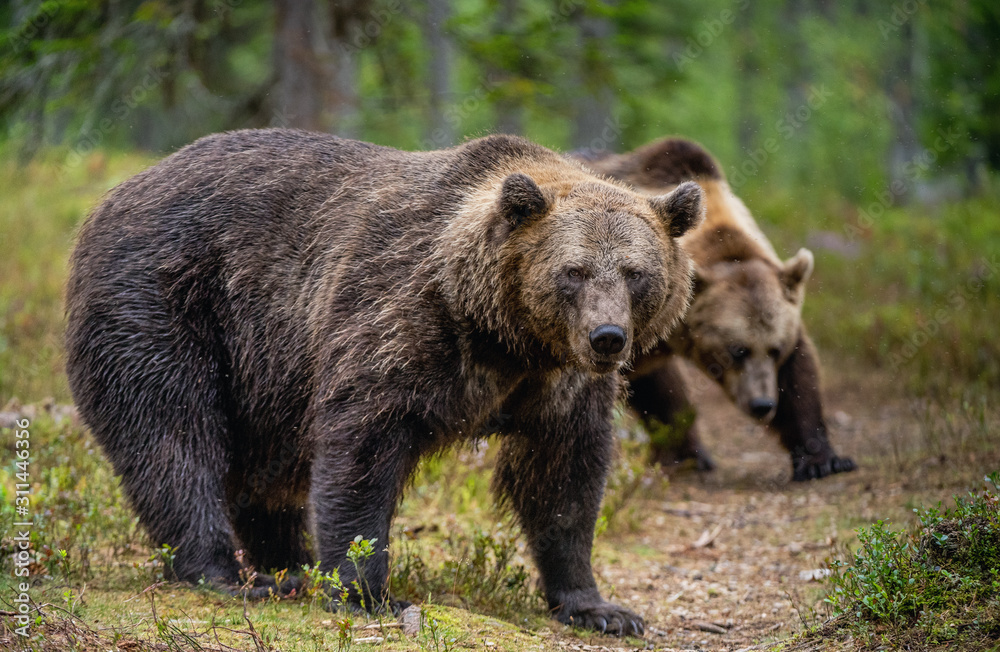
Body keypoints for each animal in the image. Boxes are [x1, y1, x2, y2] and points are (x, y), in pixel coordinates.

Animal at [66, 129, 704, 636]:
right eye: (573, 271)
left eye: (635, 273)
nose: (607, 336)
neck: (501, 334)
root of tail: (115, 194)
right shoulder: (396, 321)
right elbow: (362, 451)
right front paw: (367, 592)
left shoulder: (558, 384)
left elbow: (564, 479)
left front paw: (600, 607)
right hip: (169, 302)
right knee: (174, 435)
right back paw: (228, 572)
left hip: (266, 372)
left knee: (264, 469)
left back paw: (288, 565)